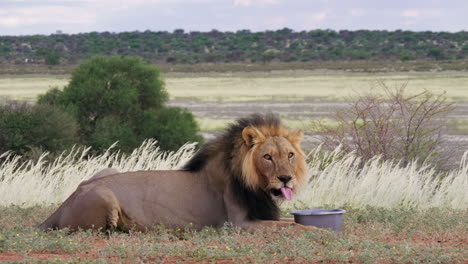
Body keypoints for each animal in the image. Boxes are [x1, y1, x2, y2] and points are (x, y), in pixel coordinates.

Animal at [38, 114, 312, 232]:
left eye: (290, 155)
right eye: (267, 157)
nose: (286, 178)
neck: (258, 187)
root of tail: (63, 205)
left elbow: (294, 222)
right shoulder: (239, 224)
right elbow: (298, 228)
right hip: (105, 197)